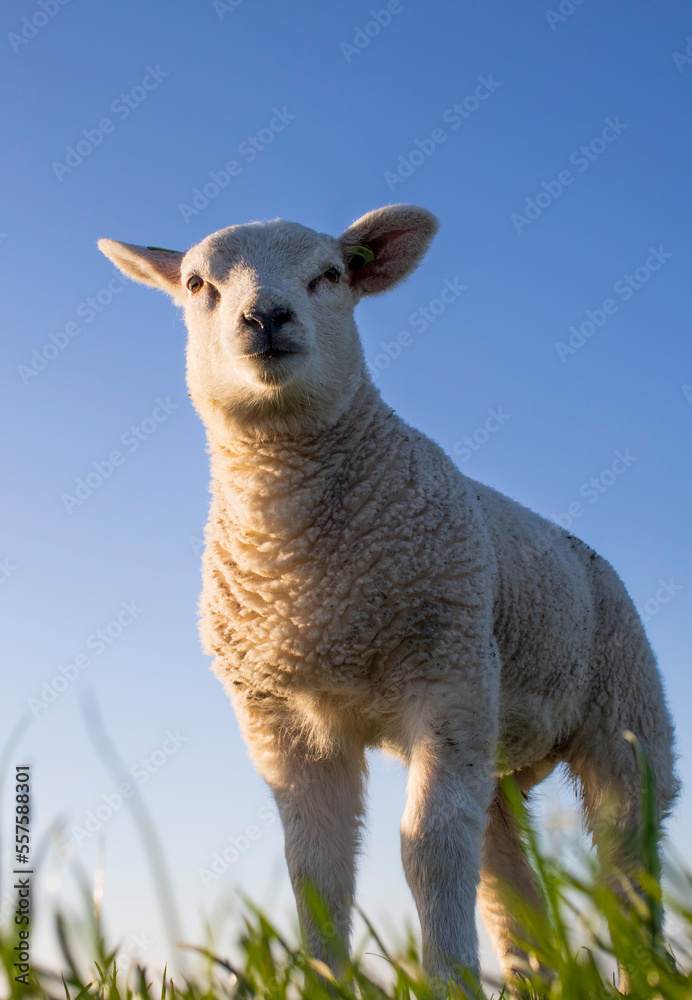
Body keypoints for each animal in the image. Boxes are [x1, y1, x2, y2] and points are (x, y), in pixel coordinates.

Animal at [99, 204, 678, 992]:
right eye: (195, 284)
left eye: (331, 274)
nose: (267, 317)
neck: (302, 573)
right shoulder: (282, 716)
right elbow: (318, 871)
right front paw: (325, 983)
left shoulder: (448, 673)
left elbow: (427, 849)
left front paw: (449, 986)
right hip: (497, 747)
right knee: (508, 877)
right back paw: (535, 978)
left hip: (626, 718)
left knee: (626, 862)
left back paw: (643, 975)